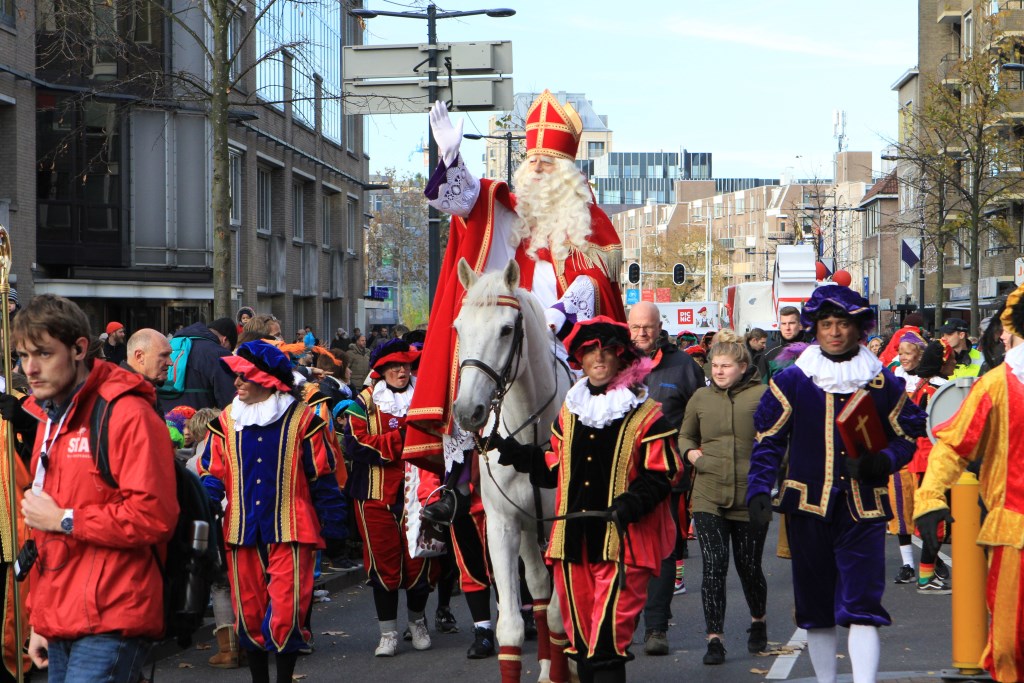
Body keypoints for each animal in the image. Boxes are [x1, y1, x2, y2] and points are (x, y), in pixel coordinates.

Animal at [454, 258, 577, 683]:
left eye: (506, 329)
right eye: (458, 327)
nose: (467, 411)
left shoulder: (563, 528)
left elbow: (558, 615)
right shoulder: (503, 525)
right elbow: (511, 625)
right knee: (537, 590)